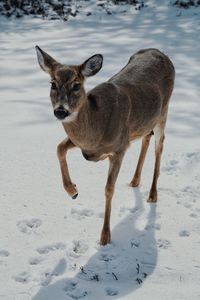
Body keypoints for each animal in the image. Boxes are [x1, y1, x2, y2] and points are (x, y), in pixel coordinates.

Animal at [36, 45, 175, 245]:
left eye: (76, 85)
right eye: (52, 84)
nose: (61, 111)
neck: (98, 124)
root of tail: (159, 52)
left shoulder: (119, 148)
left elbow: (109, 189)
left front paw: (105, 236)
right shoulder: (87, 147)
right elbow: (59, 148)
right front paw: (73, 191)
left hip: (164, 111)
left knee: (160, 144)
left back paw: (152, 194)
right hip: (146, 121)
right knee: (146, 137)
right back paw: (134, 181)